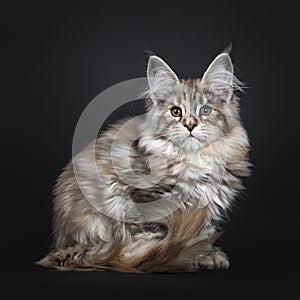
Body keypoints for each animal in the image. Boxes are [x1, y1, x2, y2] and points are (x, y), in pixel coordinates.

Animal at [36, 51, 251, 272]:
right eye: (176, 112)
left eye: (206, 110)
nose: (190, 125)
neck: (192, 159)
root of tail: (58, 245)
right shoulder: (144, 201)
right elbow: (160, 237)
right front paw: (183, 256)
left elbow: (197, 232)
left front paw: (207, 255)